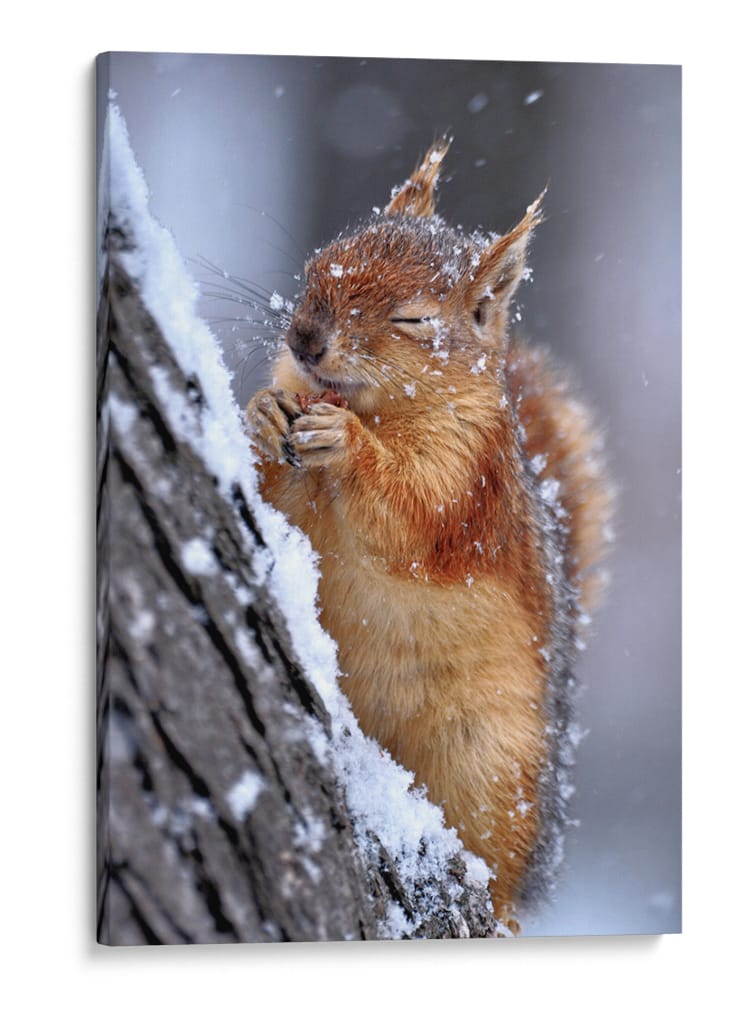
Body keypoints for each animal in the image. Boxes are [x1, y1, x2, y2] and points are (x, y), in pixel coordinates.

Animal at [245, 138, 612, 931]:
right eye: (324, 258)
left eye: (414, 320)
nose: (305, 339)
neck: (377, 408)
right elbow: (272, 490)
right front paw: (263, 411)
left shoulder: (467, 480)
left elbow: (411, 513)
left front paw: (348, 446)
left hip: (487, 762)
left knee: (497, 867)